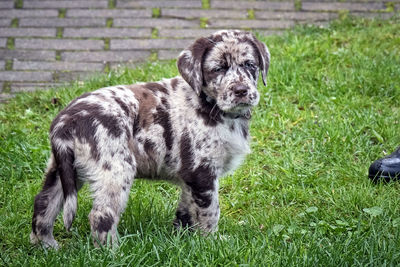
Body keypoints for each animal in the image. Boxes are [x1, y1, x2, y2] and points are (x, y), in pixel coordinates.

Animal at [30, 30, 268, 250]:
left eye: (250, 65)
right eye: (219, 69)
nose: (241, 90)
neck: (210, 105)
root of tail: (64, 122)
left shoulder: (189, 177)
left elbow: (186, 211)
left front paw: (182, 239)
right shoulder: (202, 172)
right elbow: (210, 211)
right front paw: (212, 242)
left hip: (63, 168)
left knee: (43, 203)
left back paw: (45, 246)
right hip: (116, 170)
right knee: (101, 215)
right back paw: (113, 253)